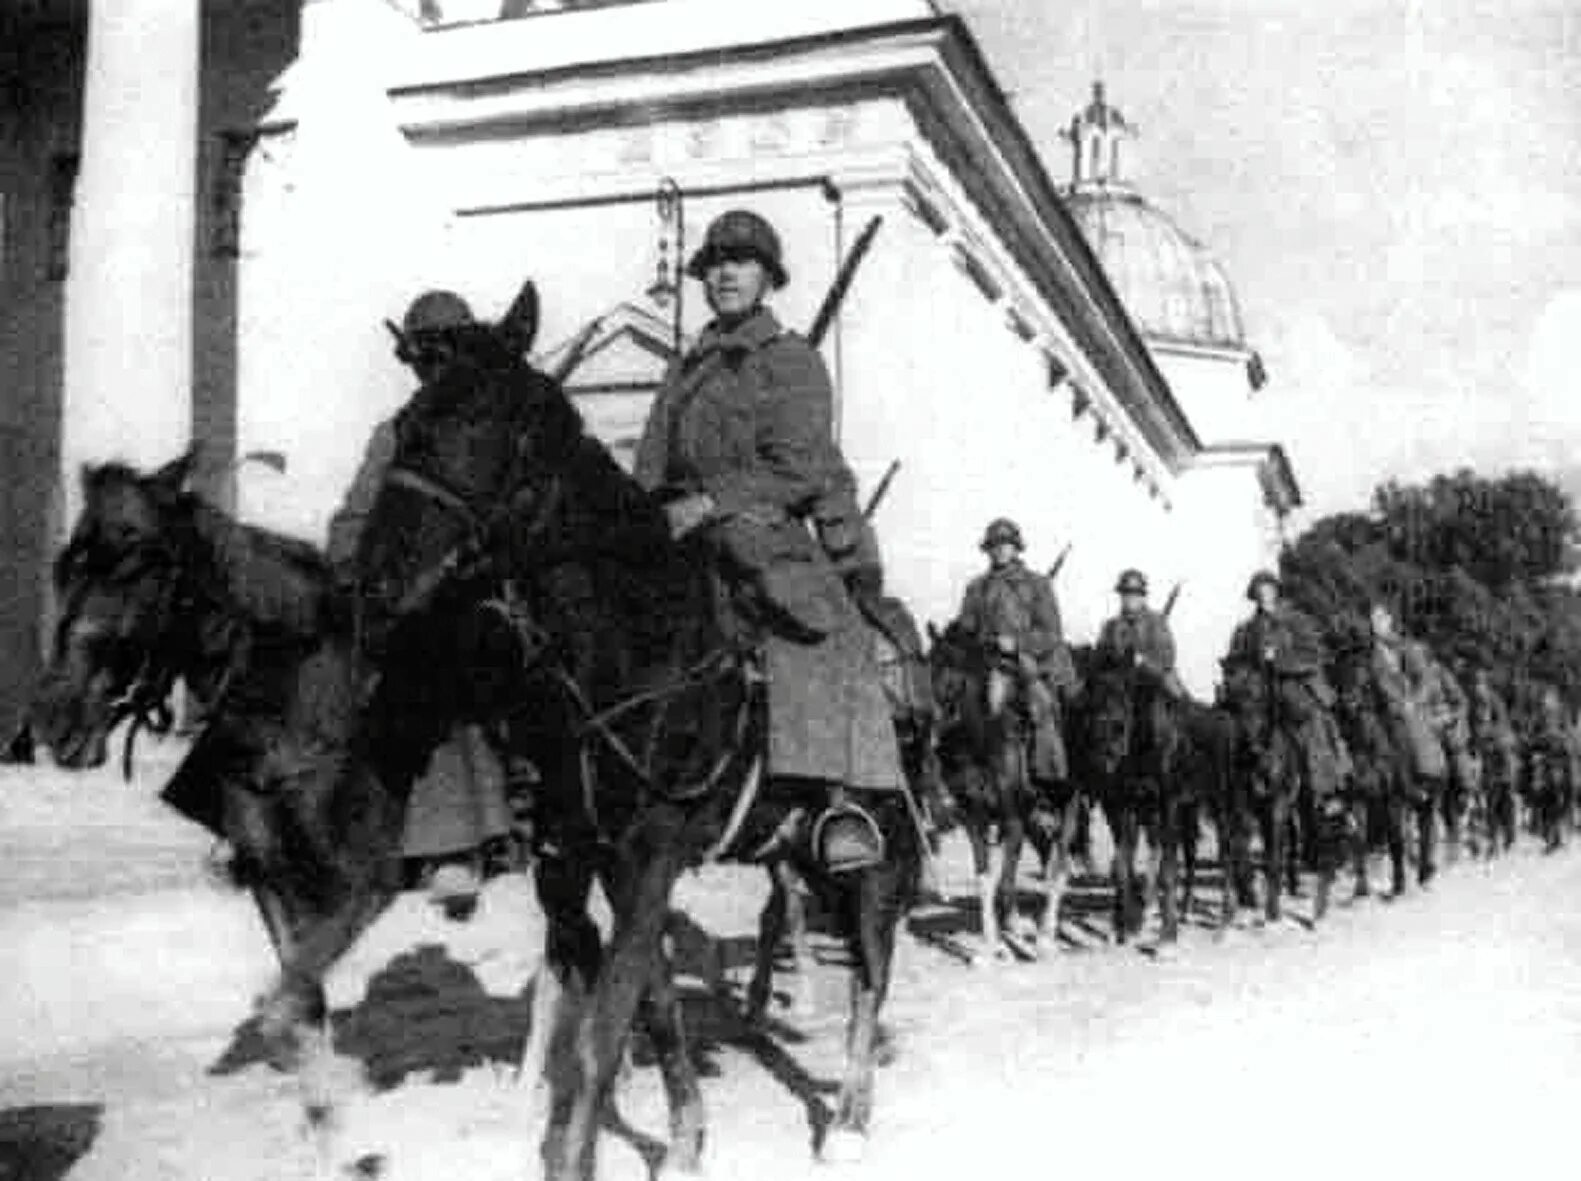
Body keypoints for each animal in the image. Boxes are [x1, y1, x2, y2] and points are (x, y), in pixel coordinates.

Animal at [338, 319, 923, 1176]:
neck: (631, 642)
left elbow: (601, 1031)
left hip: (884, 851)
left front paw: (578, 1154)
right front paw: (684, 1137)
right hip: (793, 849)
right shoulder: (582, 862)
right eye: (408, 423)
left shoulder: (649, 856)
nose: (374, 582)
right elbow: (649, 1004)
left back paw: (847, 1120)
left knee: (873, 967)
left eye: (477, 422)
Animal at [923, 619, 1087, 961]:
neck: (984, 741)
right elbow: (985, 881)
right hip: (1037, 818)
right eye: (928, 665)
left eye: (953, 671)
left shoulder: (1013, 818)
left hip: (1067, 805)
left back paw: (1045, 938)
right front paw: (988, 948)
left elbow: (1006, 882)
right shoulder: (975, 818)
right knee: (1050, 861)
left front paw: (1008, 941)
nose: (934, 725)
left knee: (1058, 868)